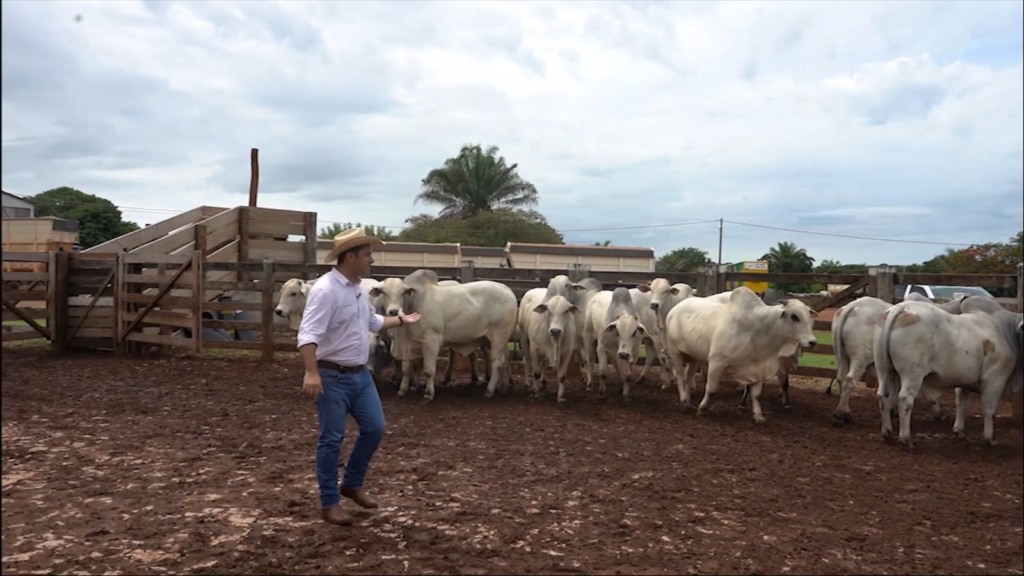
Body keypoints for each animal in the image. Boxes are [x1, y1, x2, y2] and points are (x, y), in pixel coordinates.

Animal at [368, 268, 516, 399]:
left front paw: (428, 394)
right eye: (384, 292)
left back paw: (489, 391)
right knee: (504, 359)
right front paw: (402, 391)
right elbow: (406, 369)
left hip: (498, 337)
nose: (393, 311)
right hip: (496, 340)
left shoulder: (431, 340)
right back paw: (504, 387)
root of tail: (508, 290)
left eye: (402, 292)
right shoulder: (408, 343)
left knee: (497, 362)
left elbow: (428, 370)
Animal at [663, 284, 815, 422]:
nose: (813, 342)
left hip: (693, 356)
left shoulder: (758, 368)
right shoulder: (716, 362)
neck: (758, 330)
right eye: (794, 316)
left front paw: (758, 415)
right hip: (675, 352)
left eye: (809, 317)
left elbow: (756, 394)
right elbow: (711, 389)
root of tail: (675, 309)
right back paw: (683, 400)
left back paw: (688, 400)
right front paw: (703, 408)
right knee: (680, 376)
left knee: (689, 377)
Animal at [872, 293, 1024, 446]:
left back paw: (887, 432)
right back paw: (905, 438)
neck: (1006, 329)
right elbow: (989, 410)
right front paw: (989, 439)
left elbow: (962, 404)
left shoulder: (965, 381)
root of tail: (901, 308)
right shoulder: (995, 379)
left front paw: (959, 431)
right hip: (912, 375)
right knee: (905, 400)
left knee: (883, 396)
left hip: (885, 370)